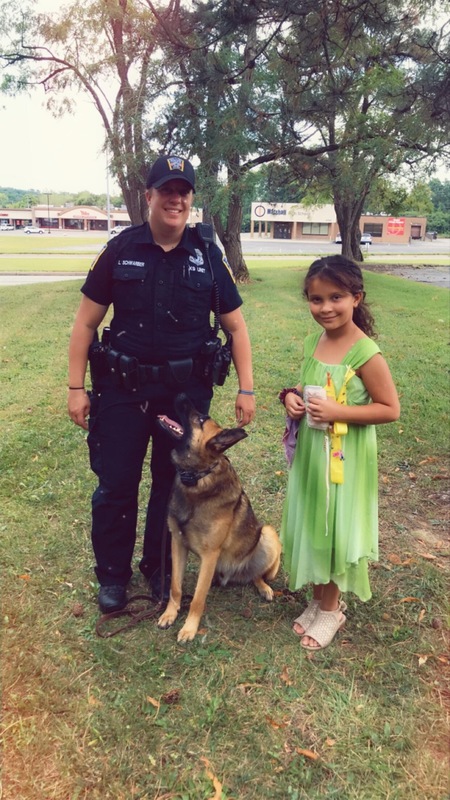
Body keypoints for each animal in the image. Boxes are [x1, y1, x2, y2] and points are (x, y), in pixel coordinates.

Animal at [156, 394, 280, 644]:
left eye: (201, 419)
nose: (181, 394)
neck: (196, 478)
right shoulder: (177, 543)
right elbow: (175, 586)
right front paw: (170, 613)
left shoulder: (210, 555)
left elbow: (198, 598)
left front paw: (189, 628)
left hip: (268, 534)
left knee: (257, 575)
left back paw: (264, 587)